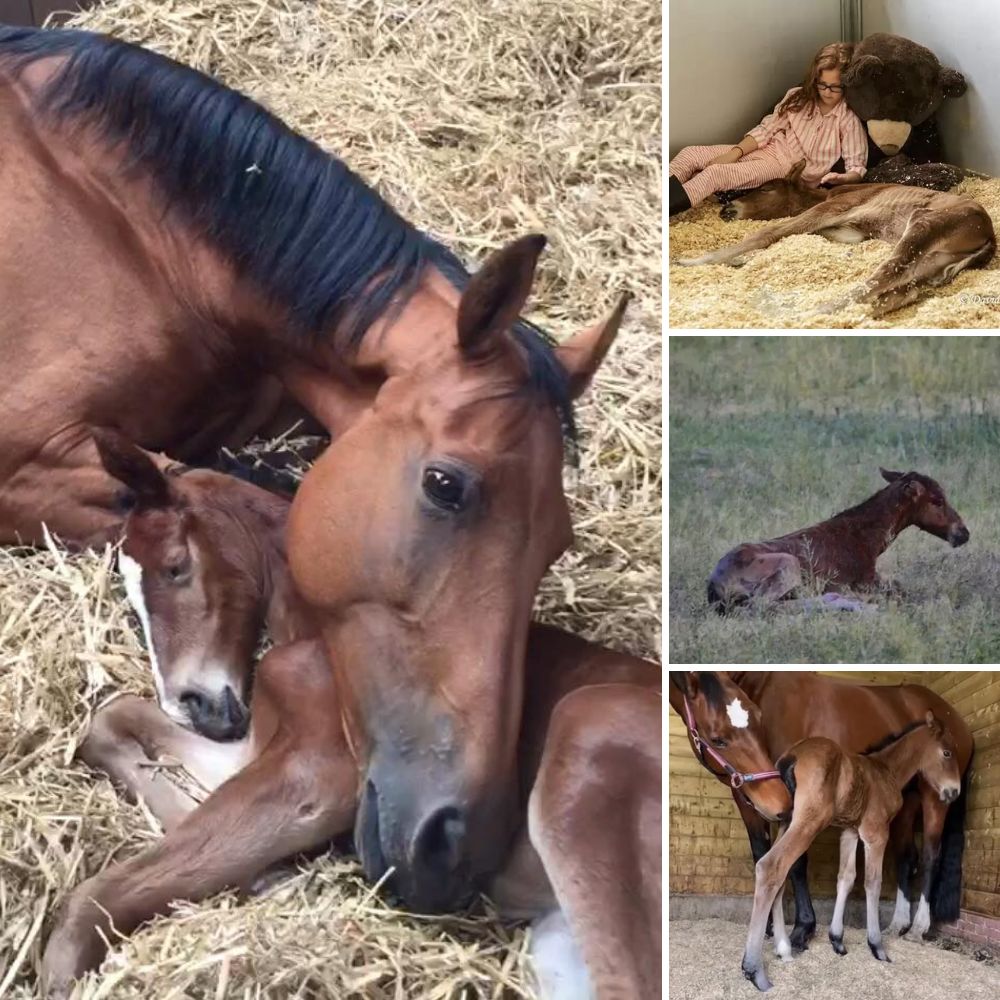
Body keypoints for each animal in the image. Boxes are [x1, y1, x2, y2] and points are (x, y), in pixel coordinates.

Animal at [41, 432, 664, 1000]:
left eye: (175, 567)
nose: (191, 704)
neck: (320, 634)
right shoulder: (258, 745)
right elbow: (112, 722)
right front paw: (259, 867)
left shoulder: (320, 774)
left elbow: (96, 899)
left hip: (588, 724)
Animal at [676, 160, 996, 318]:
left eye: (767, 188)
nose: (727, 209)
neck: (825, 195)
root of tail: (989, 236)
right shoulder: (849, 233)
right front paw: (740, 262)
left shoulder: (834, 209)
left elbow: (771, 232)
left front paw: (691, 261)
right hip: (932, 262)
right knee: (903, 291)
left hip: (923, 226)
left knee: (884, 274)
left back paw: (811, 313)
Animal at [744, 712, 960, 992]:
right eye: (947, 753)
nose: (953, 791)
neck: (886, 770)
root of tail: (792, 756)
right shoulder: (875, 832)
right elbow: (872, 882)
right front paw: (877, 946)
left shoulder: (850, 831)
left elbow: (845, 878)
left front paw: (837, 940)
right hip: (809, 822)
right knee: (770, 866)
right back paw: (754, 969)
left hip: (787, 821)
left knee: (781, 876)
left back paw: (783, 948)